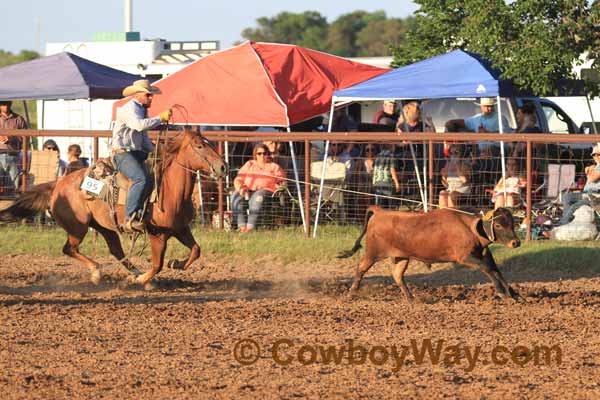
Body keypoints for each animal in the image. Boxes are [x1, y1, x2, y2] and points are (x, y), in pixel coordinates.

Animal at [0, 130, 225, 290]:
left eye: (211, 143)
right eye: (199, 146)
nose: (223, 166)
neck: (169, 190)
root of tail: (58, 184)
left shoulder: (181, 229)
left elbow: (196, 251)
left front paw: (175, 263)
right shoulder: (157, 234)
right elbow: (157, 264)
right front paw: (144, 278)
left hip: (105, 227)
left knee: (117, 251)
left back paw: (135, 274)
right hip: (78, 227)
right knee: (70, 249)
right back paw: (99, 272)